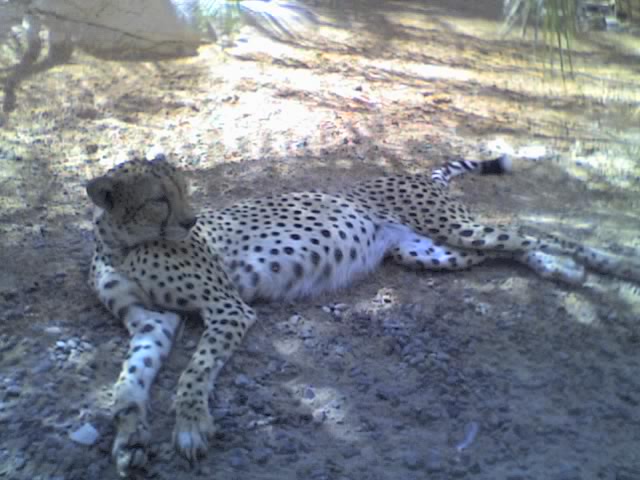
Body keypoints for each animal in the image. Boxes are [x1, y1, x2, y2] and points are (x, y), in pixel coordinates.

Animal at [86, 154, 640, 476]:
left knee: (532, 232)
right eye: (159, 199)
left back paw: (610, 263)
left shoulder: (227, 307)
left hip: (454, 230)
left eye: (184, 189)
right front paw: (129, 438)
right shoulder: (152, 323)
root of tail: (410, 173)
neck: (123, 245)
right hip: (431, 252)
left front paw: (190, 425)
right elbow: (129, 381)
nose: (191, 220)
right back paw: (561, 268)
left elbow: (194, 373)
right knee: (511, 249)